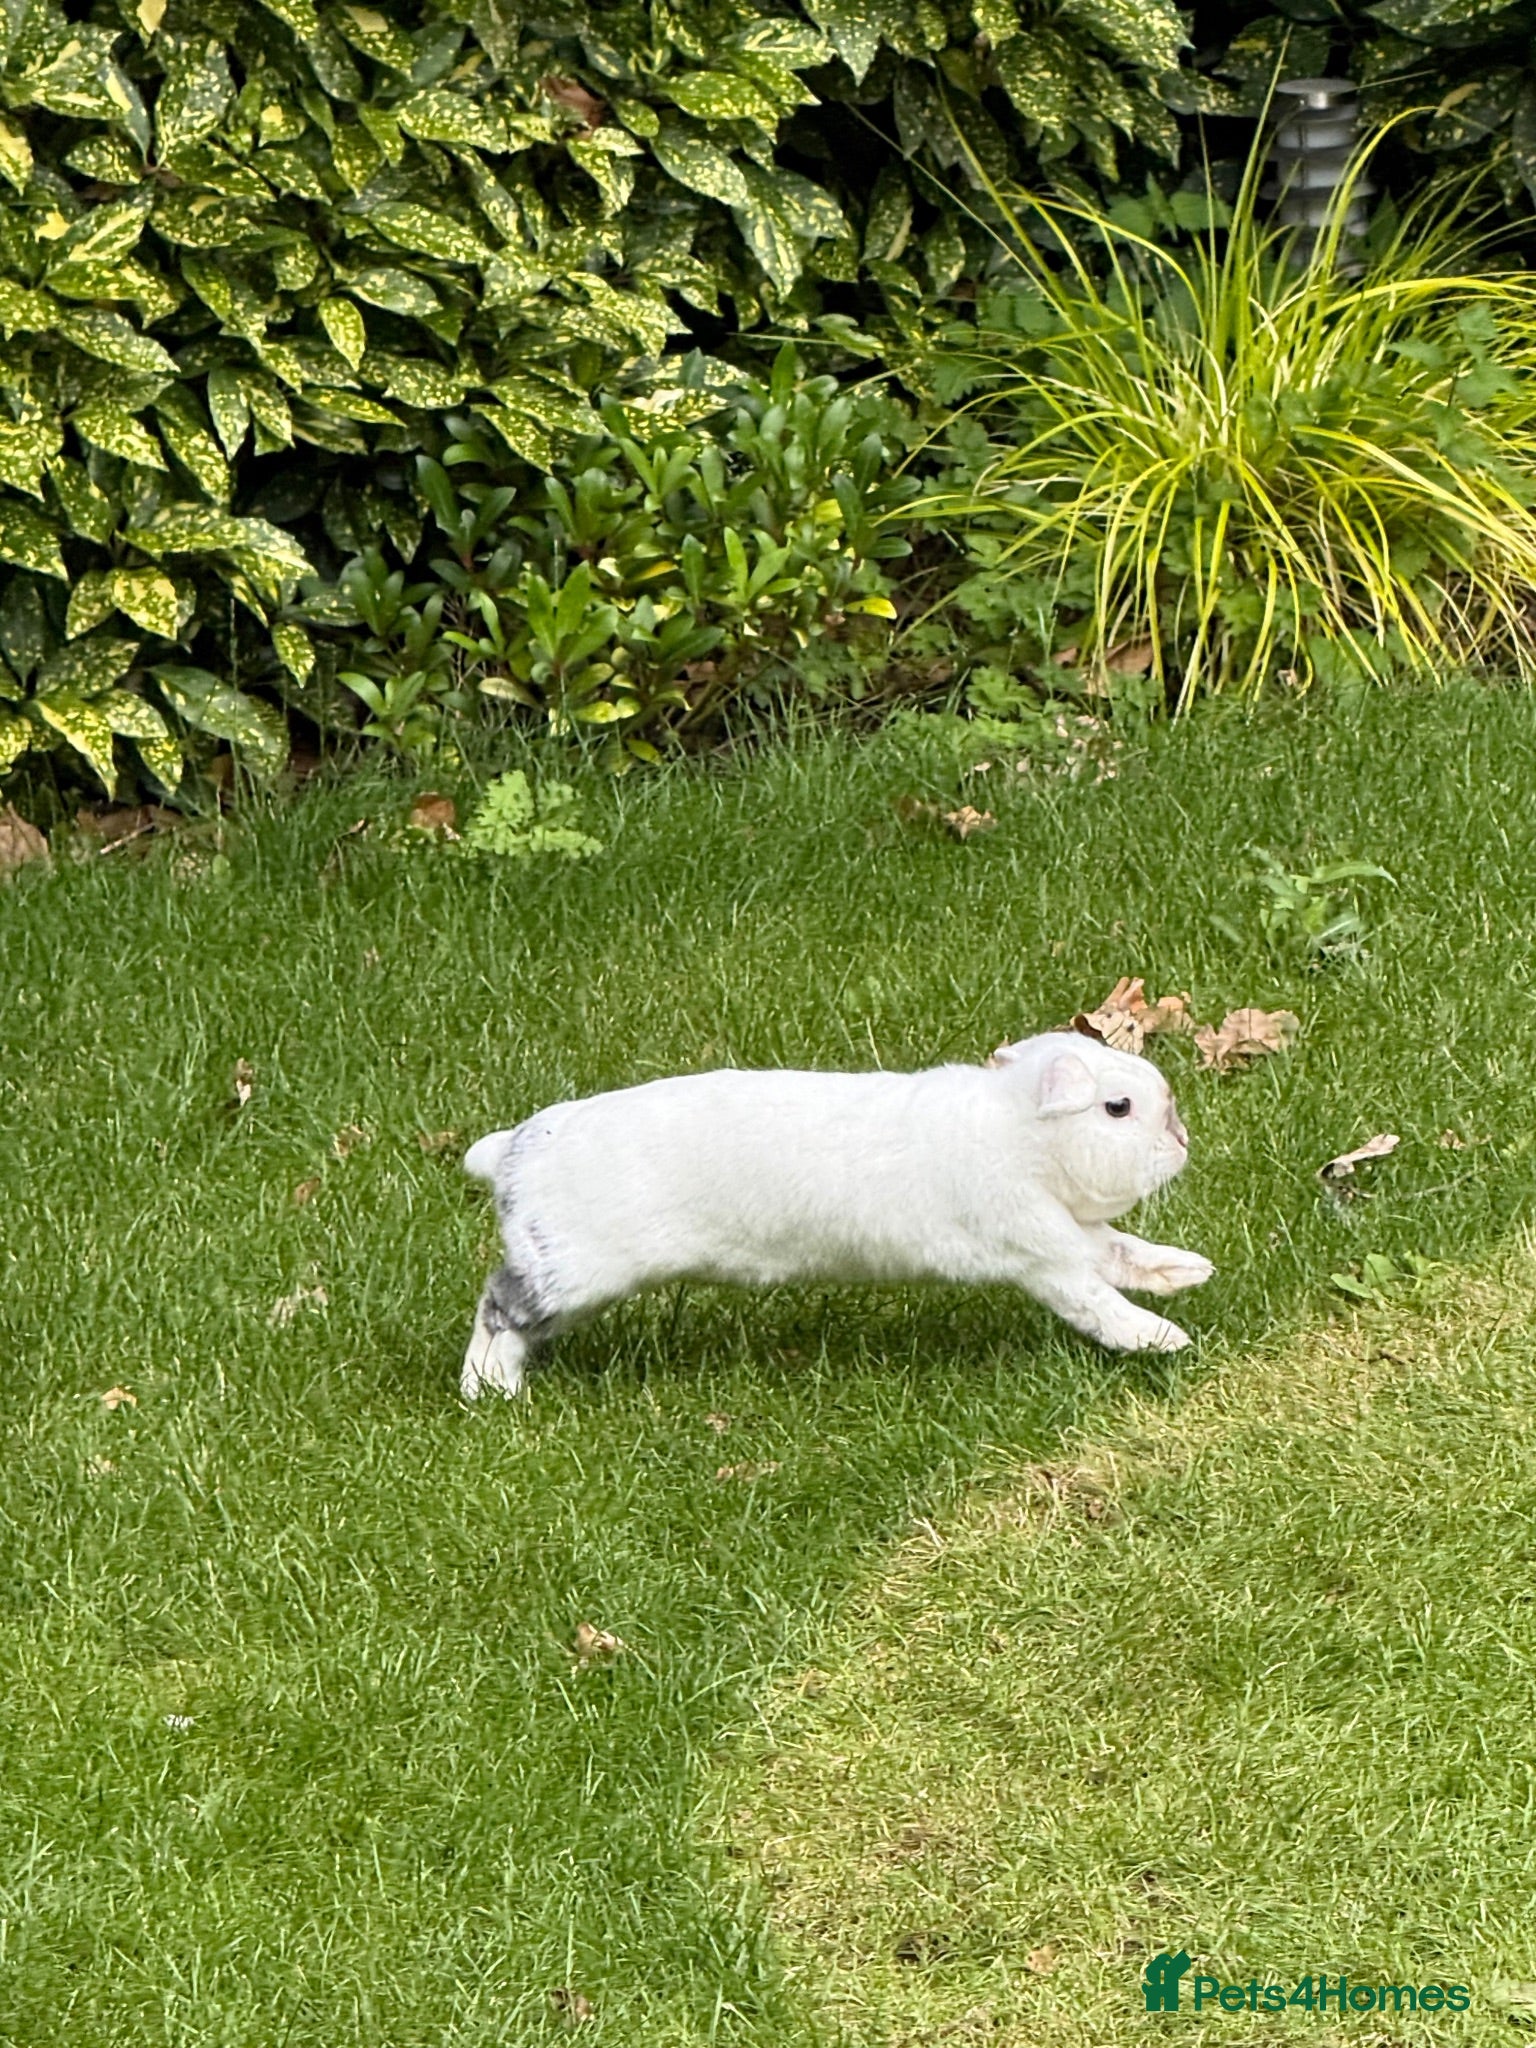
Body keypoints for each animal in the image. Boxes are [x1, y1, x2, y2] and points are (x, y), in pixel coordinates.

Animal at [459, 1031, 1212, 1399]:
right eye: (1117, 1108)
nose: (1181, 1141)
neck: (1015, 1131)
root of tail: (510, 1153)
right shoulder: (1045, 1255)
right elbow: (1098, 1300)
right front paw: (1164, 1339)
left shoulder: (1077, 1234)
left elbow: (1123, 1252)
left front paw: (1189, 1272)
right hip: (571, 1272)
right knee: (498, 1307)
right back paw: (489, 1391)